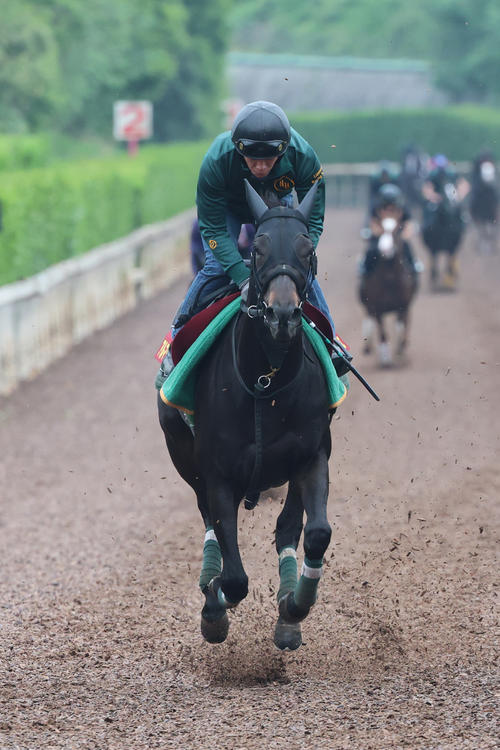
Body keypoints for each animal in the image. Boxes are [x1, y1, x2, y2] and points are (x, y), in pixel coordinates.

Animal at [157, 180, 342, 651]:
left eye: (307, 248)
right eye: (258, 248)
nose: (282, 314)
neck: (266, 383)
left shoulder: (311, 455)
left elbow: (314, 532)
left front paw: (294, 606)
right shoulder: (218, 473)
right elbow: (234, 577)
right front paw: (214, 606)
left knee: (288, 527)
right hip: (183, 452)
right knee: (208, 521)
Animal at [359, 217, 417, 366]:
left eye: (397, 231)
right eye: (379, 231)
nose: (385, 249)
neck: (389, 280)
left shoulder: (402, 305)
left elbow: (399, 326)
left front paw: (399, 349)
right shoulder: (377, 308)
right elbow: (382, 332)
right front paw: (385, 359)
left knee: (406, 321)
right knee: (369, 319)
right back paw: (368, 346)